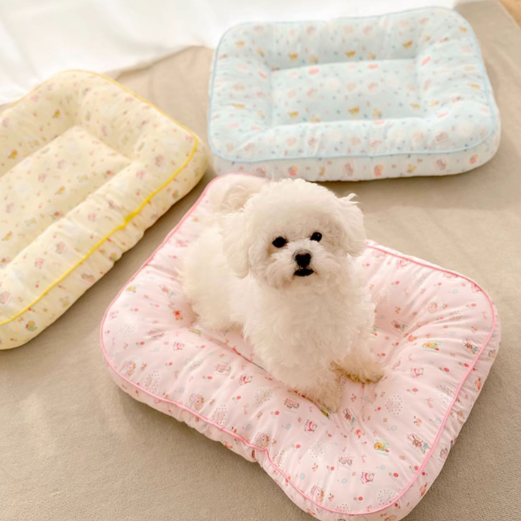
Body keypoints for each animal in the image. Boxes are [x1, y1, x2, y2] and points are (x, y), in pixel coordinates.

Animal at [180, 176, 383, 411]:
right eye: (278, 242)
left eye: (317, 236)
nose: (303, 255)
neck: (310, 295)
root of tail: (215, 224)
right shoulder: (288, 353)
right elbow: (311, 376)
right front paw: (329, 395)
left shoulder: (350, 327)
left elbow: (355, 351)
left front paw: (368, 369)